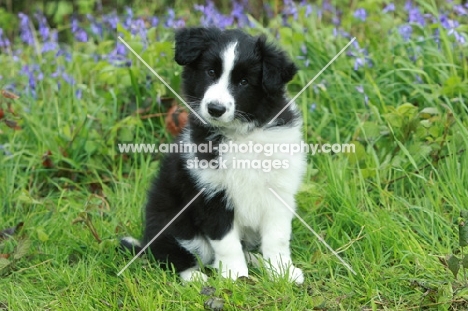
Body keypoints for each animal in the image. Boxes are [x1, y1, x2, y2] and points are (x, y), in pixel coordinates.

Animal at [120, 28, 306, 284]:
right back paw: (196, 278)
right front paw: (235, 276)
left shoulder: (278, 190)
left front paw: (281, 271)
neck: (239, 135)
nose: (215, 109)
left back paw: (255, 260)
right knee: (172, 256)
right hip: (172, 224)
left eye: (244, 81)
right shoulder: (211, 194)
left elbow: (277, 237)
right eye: (210, 72)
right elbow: (225, 241)